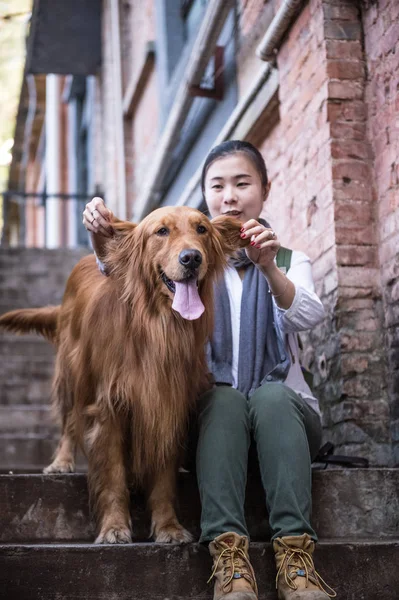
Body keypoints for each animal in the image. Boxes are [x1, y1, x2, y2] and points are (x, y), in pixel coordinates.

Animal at [0, 205, 250, 544]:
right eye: (161, 231)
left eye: (202, 229)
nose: (191, 258)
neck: (157, 326)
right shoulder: (109, 408)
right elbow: (113, 477)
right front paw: (114, 527)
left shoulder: (167, 405)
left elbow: (163, 480)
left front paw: (168, 527)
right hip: (73, 371)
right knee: (69, 421)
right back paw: (61, 462)